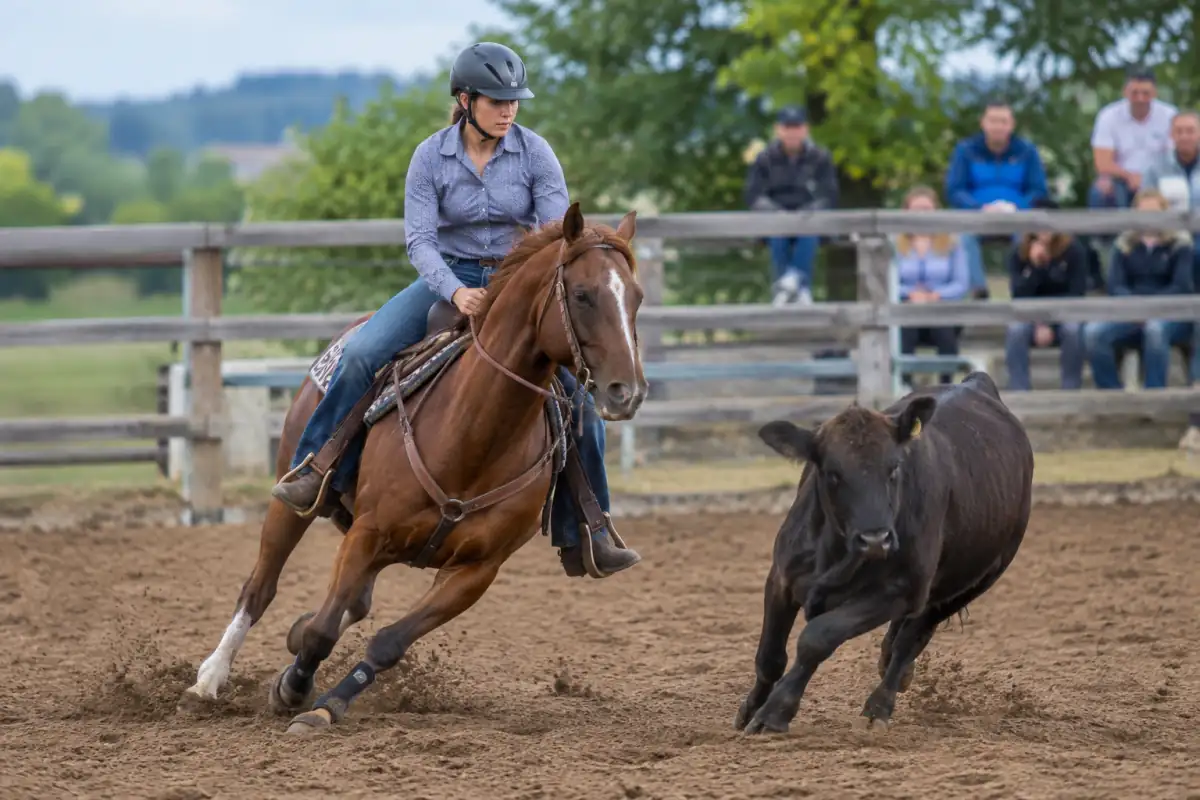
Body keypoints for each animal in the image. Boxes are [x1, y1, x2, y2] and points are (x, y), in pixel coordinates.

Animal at [180, 202, 646, 734]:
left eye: (636, 297)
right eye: (584, 295)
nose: (626, 391)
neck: (473, 434)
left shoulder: (476, 571)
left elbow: (387, 642)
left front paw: (326, 704)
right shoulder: (368, 533)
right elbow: (322, 632)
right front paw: (293, 688)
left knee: (355, 604)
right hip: (295, 499)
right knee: (262, 585)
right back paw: (209, 679)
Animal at [734, 371, 1034, 734]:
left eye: (893, 469)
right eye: (833, 473)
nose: (876, 539)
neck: (837, 552)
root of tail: (976, 382)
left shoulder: (898, 591)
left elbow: (816, 638)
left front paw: (774, 713)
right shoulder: (781, 578)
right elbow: (770, 657)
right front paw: (751, 708)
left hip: (975, 579)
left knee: (912, 637)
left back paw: (882, 703)